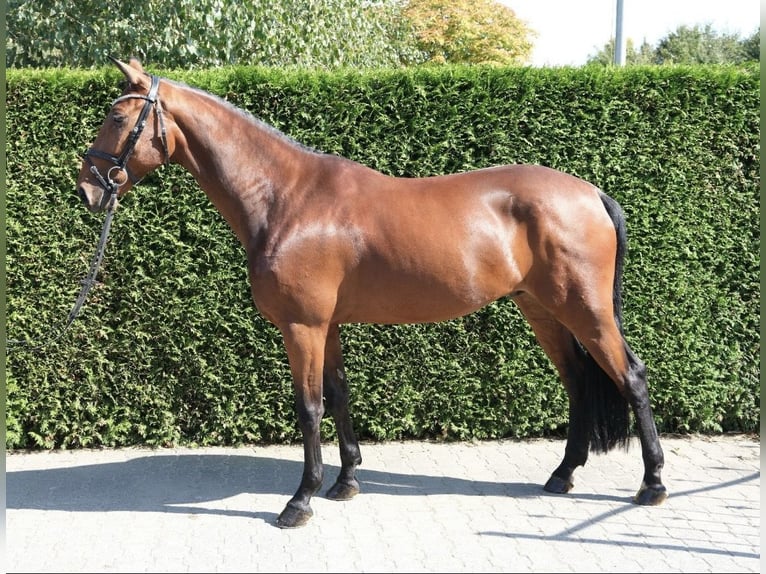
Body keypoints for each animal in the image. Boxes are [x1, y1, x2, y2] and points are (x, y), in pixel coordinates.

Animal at [76, 57, 668, 528]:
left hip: (586, 309)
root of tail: (591, 193)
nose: (87, 187)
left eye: (117, 117)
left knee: (632, 377)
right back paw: (563, 474)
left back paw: (652, 484)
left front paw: (300, 500)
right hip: (543, 310)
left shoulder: (303, 326)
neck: (285, 198)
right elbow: (339, 395)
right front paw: (345, 482)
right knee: (578, 383)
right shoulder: (328, 325)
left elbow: (309, 407)